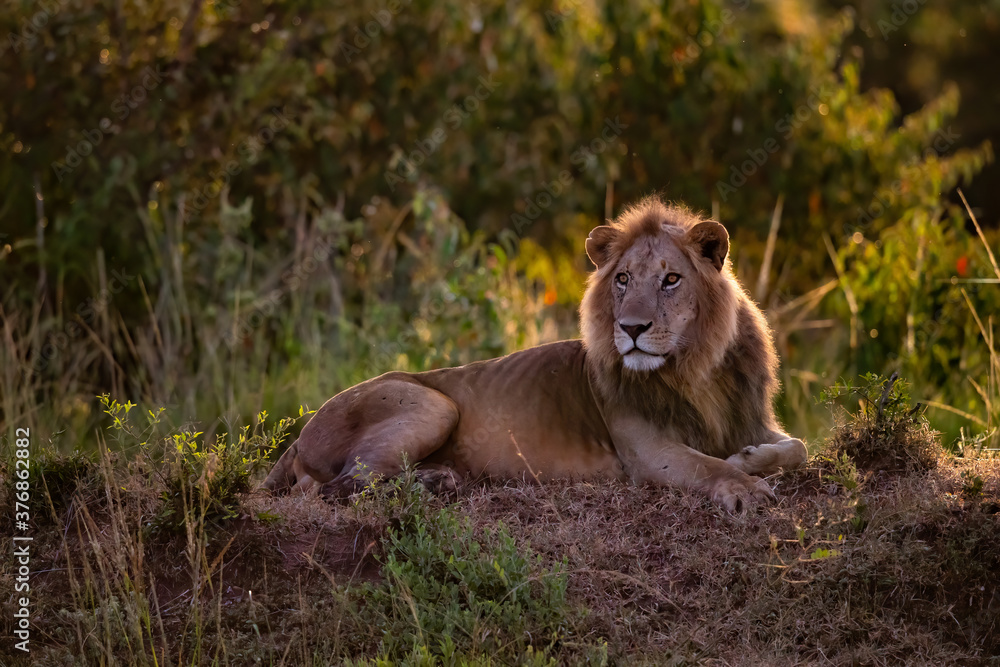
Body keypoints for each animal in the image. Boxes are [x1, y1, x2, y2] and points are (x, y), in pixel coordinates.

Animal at [263, 196, 807, 511]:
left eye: (671, 279)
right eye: (622, 279)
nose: (631, 328)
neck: (695, 371)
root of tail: (301, 434)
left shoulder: (750, 419)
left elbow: (796, 446)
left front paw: (750, 458)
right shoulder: (645, 452)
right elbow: (707, 466)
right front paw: (743, 486)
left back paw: (441, 478)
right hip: (432, 404)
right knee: (344, 485)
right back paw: (436, 485)